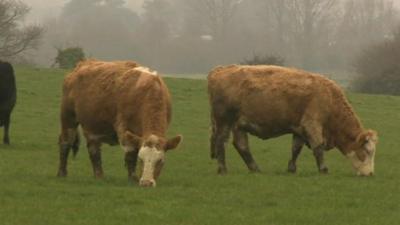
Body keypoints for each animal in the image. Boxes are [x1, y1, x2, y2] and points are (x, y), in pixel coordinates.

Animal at [209, 64, 378, 176]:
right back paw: (223, 169)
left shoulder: (299, 129)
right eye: (366, 151)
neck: (330, 98)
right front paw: (323, 169)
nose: (370, 174)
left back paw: (255, 169)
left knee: (241, 146)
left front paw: (291, 169)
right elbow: (318, 147)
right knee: (221, 142)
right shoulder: (311, 124)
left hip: (239, 125)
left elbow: (296, 149)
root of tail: (220, 70)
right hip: (224, 121)